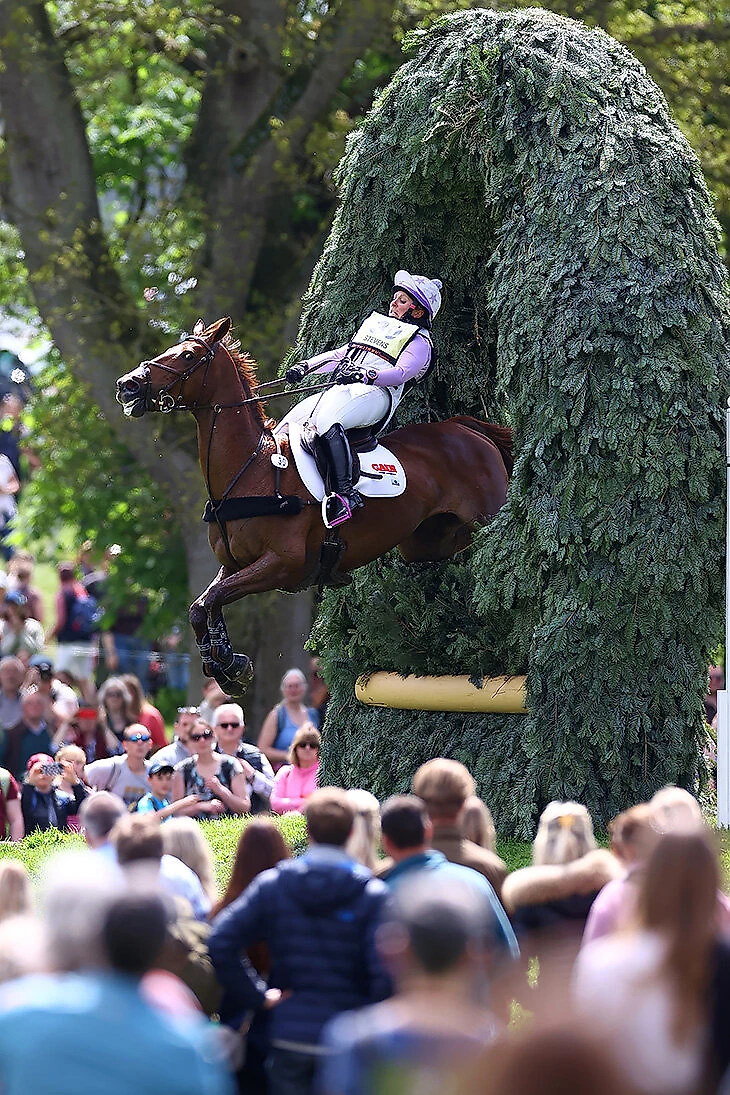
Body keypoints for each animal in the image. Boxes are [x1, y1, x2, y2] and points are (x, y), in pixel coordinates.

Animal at [117, 317, 512, 696]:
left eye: (187, 356)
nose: (127, 385)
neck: (252, 469)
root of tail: (465, 428)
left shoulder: (282, 564)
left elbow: (213, 599)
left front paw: (228, 663)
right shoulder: (234, 564)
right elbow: (202, 607)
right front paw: (227, 665)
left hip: (485, 517)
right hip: (426, 542)